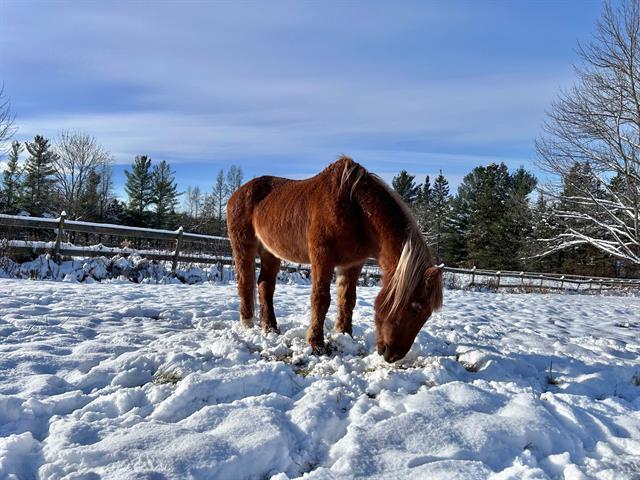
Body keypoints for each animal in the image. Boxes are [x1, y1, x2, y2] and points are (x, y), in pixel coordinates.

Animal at [226, 156, 443, 362]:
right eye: (415, 308)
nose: (393, 356)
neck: (356, 209)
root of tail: (237, 193)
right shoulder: (322, 258)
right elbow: (321, 299)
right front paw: (317, 344)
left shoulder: (353, 263)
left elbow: (348, 300)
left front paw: (345, 335)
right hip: (244, 247)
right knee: (245, 282)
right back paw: (248, 324)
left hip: (270, 252)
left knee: (265, 286)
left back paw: (270, 328)